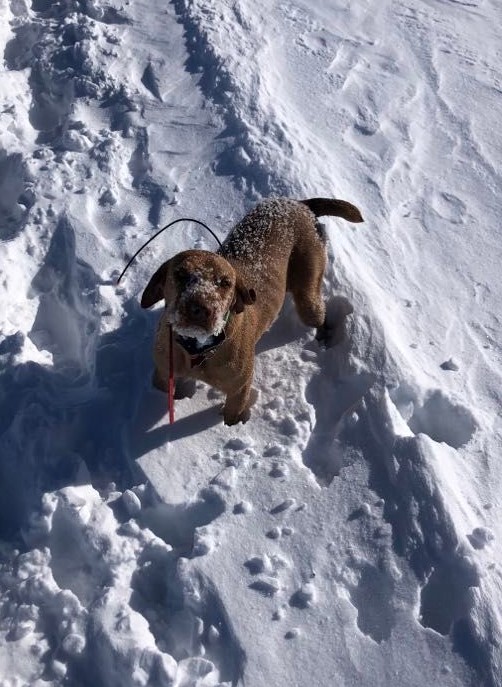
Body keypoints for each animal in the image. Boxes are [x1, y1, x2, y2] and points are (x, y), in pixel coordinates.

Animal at [140, 196, 360, 424]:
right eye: (181, 274)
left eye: (225, 282)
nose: (200, 309)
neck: (198, 350)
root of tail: (299, 203)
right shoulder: (163, 374)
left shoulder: (238, 391)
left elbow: (231, 417)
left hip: (307, 295)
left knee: (319, 315)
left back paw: (325, 339)